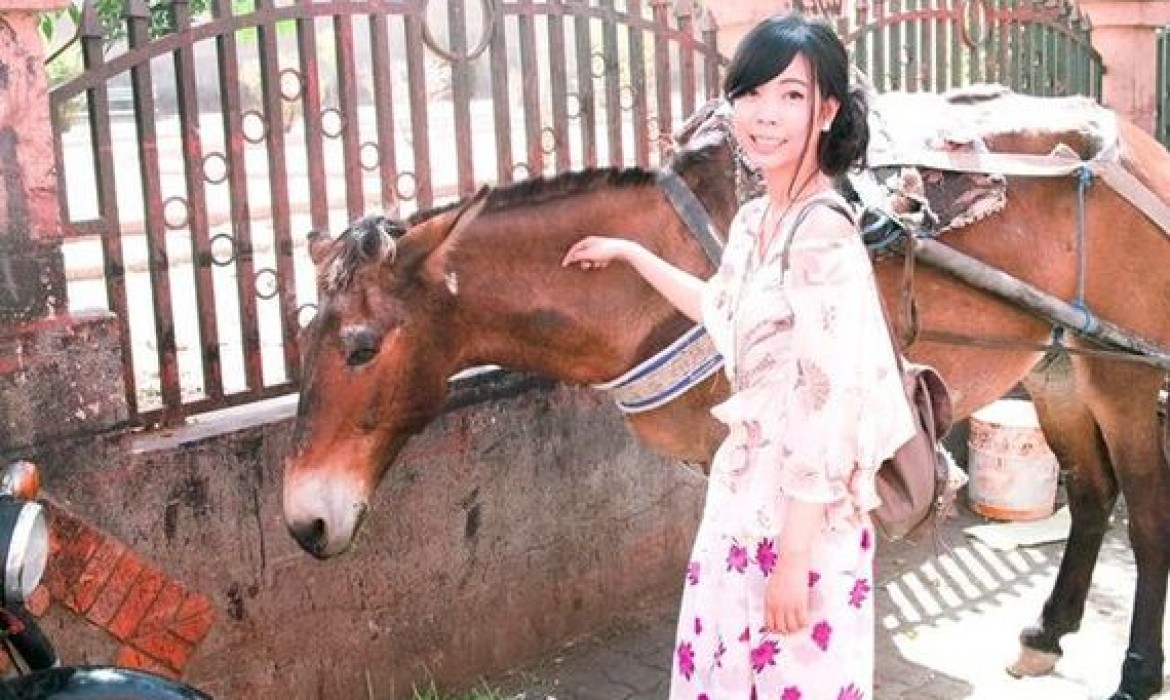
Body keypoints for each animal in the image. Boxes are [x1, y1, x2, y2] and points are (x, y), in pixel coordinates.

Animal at [280, 90, 1170, 697]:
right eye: (302, 344)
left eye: (360, 347)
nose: (303, 523)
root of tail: (1138, 145)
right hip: (1059, 366)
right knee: (1093, 494)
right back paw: (1049, 632)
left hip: (1125, 372)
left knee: (1147, 516)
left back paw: (1134, 671)